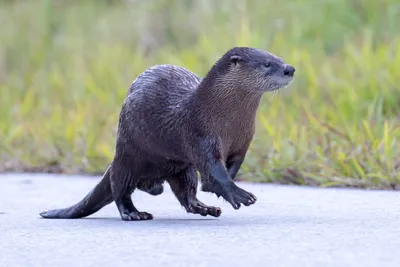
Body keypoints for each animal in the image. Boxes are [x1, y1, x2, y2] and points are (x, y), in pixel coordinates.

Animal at [39, 46, 296, 222]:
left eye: (280, 59)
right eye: (267, 64)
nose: (289, 69)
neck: (224, 120)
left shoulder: (242, 142)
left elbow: (229, 169)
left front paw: (217, 191)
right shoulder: (199, 135)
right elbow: (216, 172)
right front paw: (239, 194)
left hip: (181, 168)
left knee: (186, 194)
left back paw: (205, 208)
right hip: (127, 156)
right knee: (119, 186)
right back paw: (133, 213)